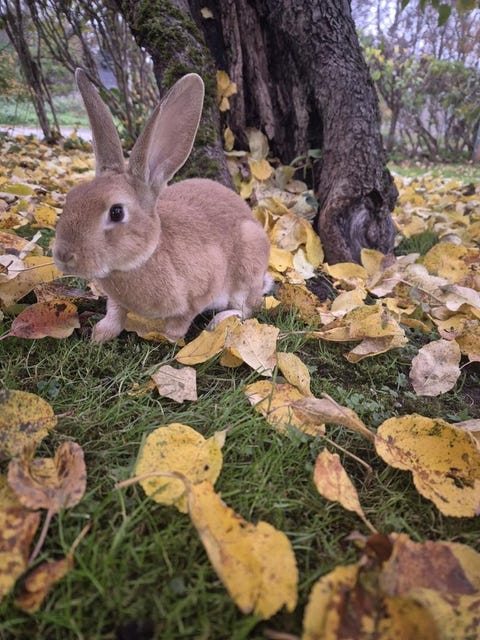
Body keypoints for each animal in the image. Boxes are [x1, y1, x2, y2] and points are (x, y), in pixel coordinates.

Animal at [53, 69, 271, 342]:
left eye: (116, 212)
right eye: (71, 197)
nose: (63, 255)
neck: (146, 255)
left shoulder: (201, 291)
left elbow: (181, 320)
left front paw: (170, 338)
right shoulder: (117, 301)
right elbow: (115, 312)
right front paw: (100, 335)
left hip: (247, 265)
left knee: (249, 307)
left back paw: (219, 321)